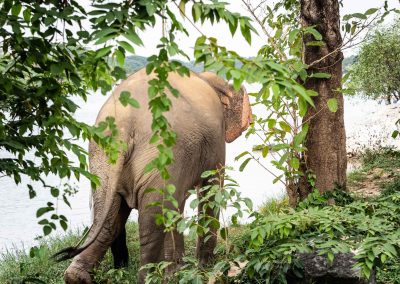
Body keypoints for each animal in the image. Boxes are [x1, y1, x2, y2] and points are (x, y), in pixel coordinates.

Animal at [54, 67, 252, 282]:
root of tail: (124, 124)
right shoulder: (211, 143)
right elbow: (209, 190)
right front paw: (201, 266)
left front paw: (177, 270)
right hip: (159, 153)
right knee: (152, 222)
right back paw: (149, 278)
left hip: (102, 160)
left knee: (108, 219)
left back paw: (76, 277)